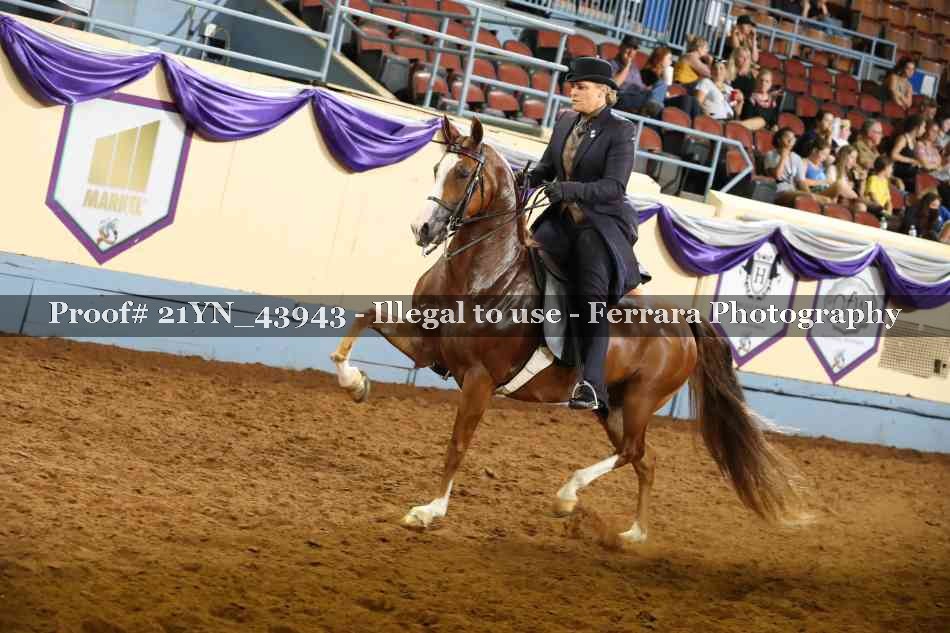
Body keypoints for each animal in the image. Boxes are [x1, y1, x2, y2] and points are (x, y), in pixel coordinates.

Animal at [330, 115, 807, 544]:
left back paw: (568, 496)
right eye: (435, 168)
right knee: (646, 460)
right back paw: (633, 533)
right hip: (614, 407)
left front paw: (429, 511)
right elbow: (366, 316)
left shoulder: (480, 379)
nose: (422, 228)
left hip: (640, 400)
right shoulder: (429, 348)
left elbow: (457, 444)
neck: (484, 276)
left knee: (633, 452)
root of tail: (682, 324)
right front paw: (355, 384)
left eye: (462, 173)